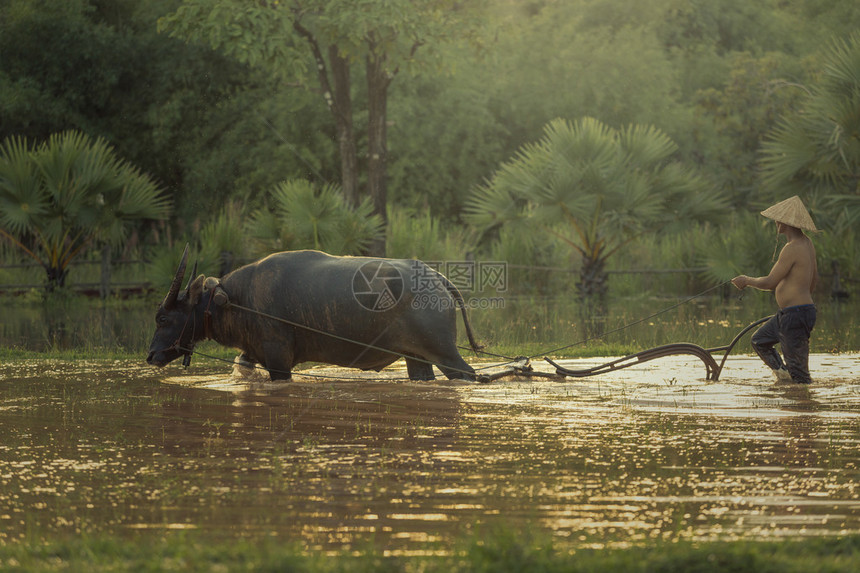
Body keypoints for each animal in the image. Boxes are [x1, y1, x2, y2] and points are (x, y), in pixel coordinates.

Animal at [145, 246, 480, 380]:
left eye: (163, 318)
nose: (151, 355)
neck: (238, 299)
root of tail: (435, 277)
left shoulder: (279, 362)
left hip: (446, 354)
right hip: (417, 359)